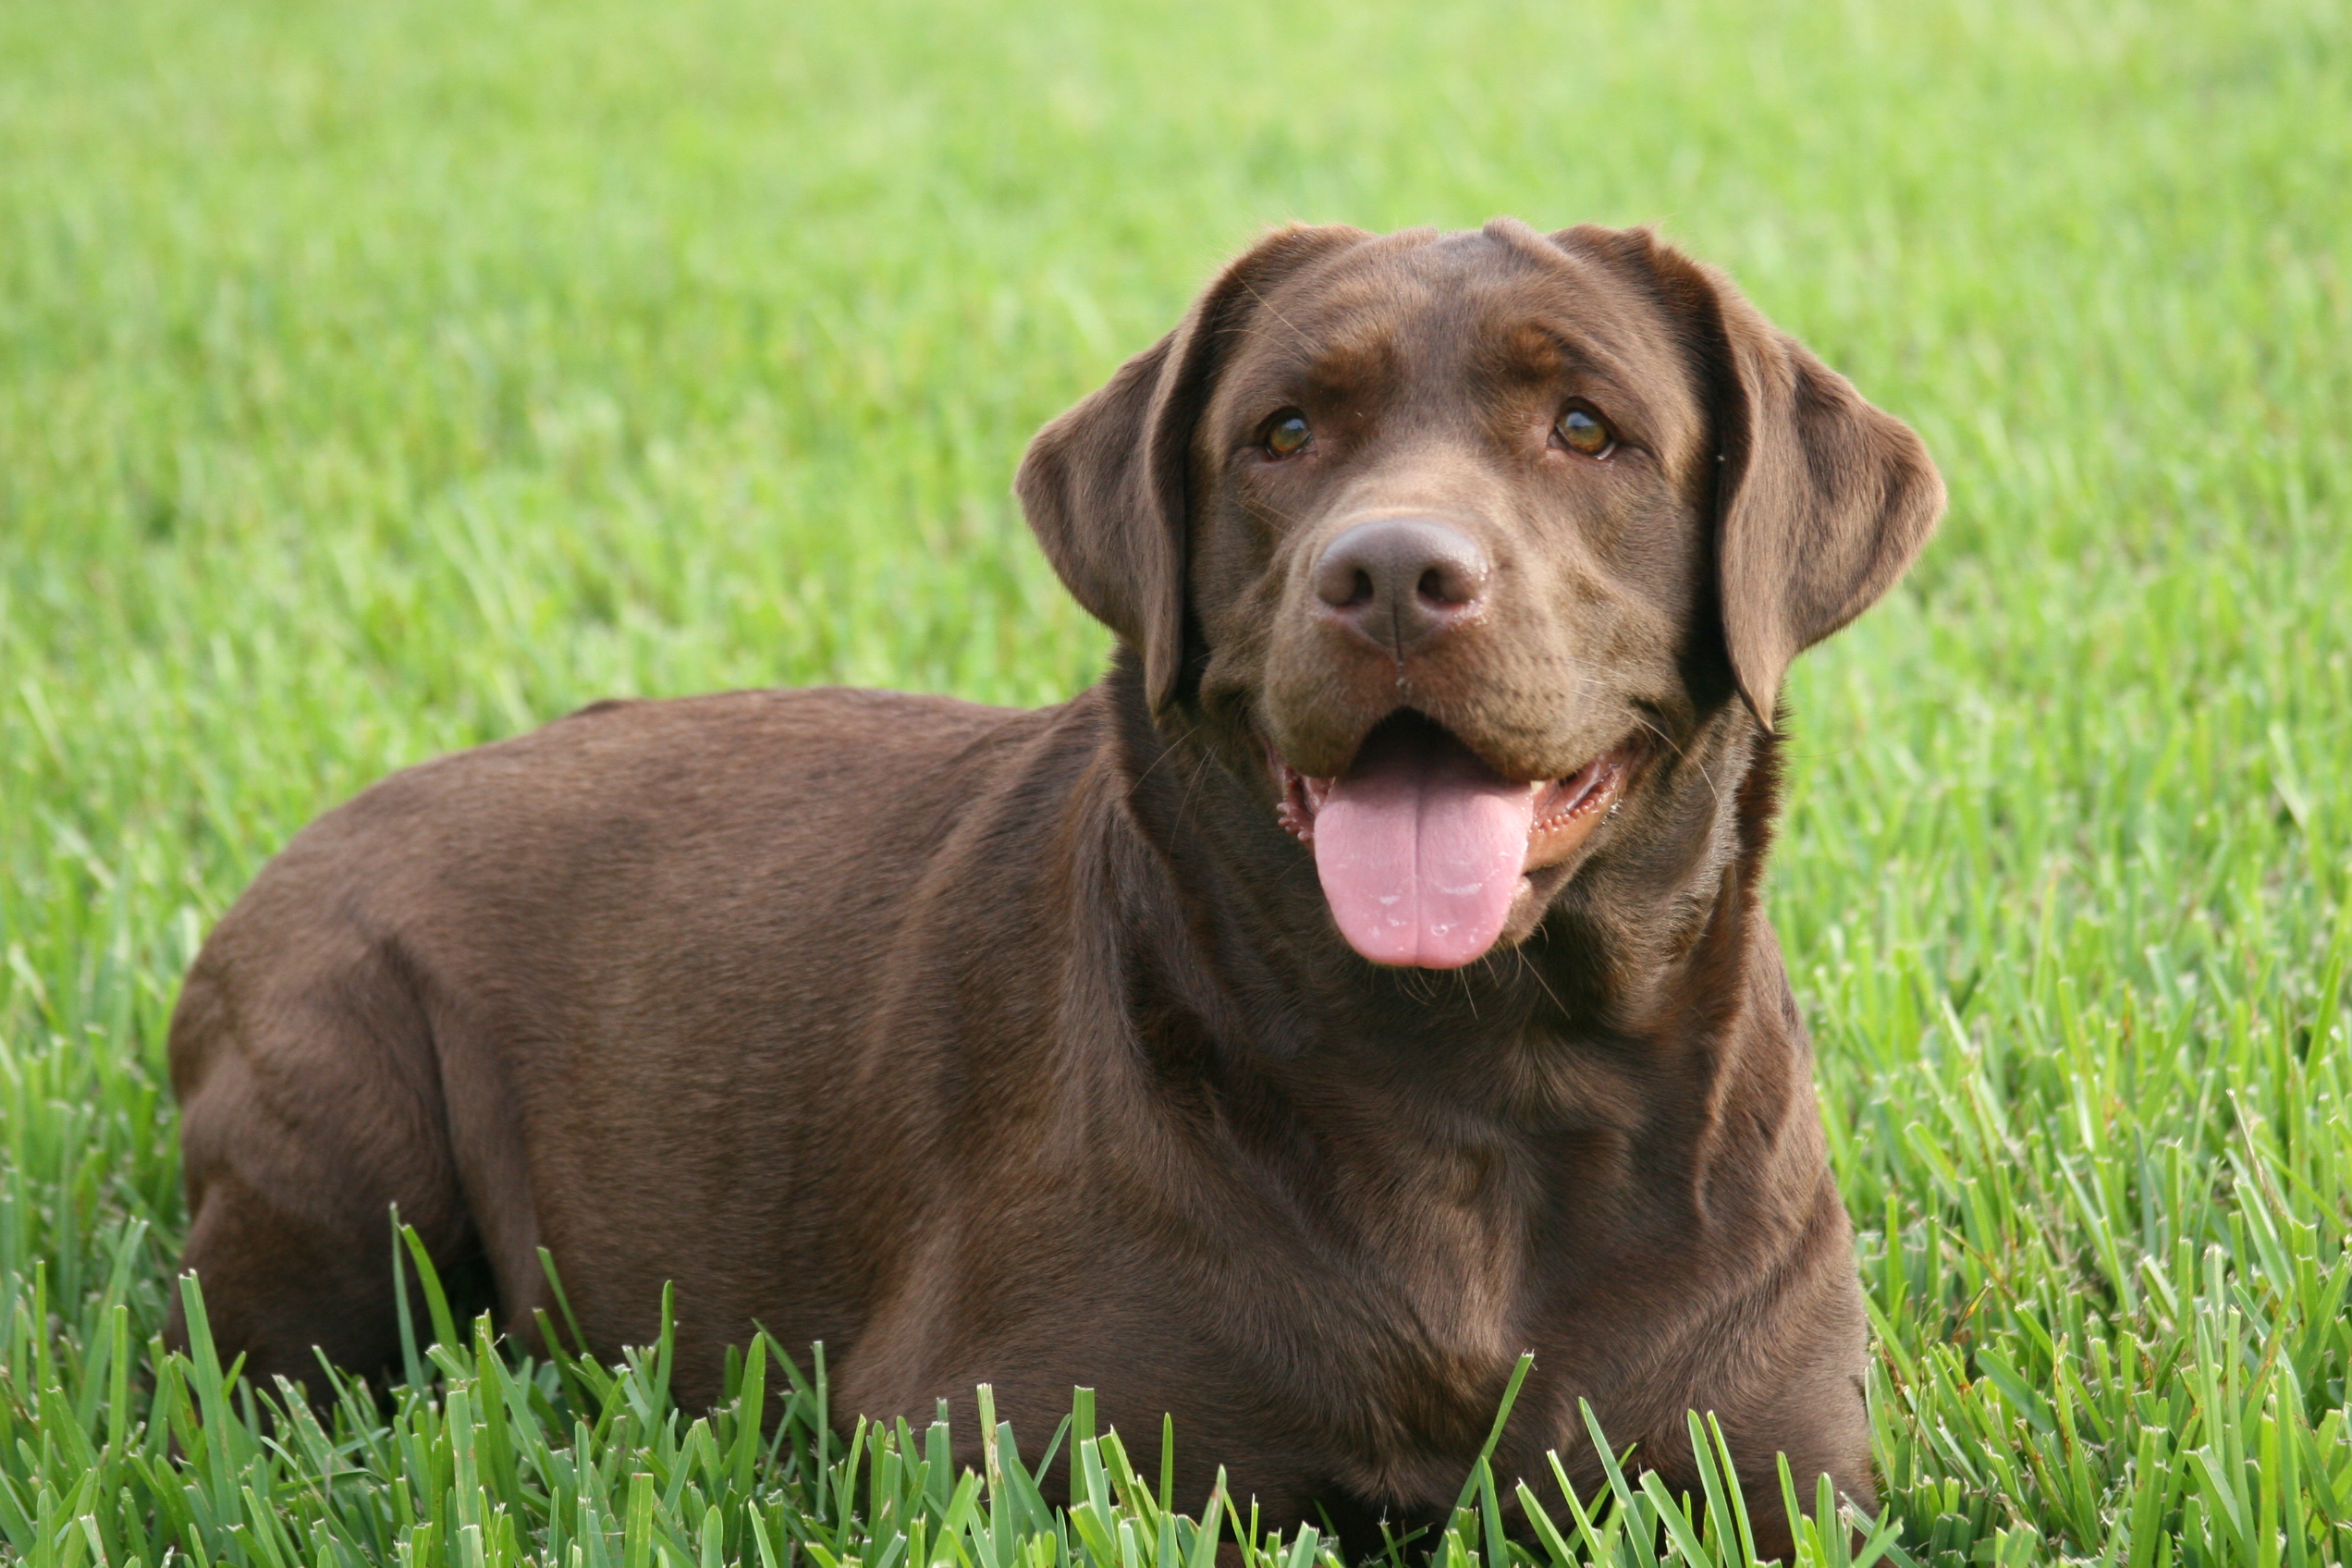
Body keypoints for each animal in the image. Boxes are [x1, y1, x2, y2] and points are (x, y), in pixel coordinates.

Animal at [161, 221, 1929, 1561]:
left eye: (1584, 429)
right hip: (343, 1126)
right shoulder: (1010, 1448)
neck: (1474, 1074)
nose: (1388, 575)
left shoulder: (1779, 1478)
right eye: (1284, 433)